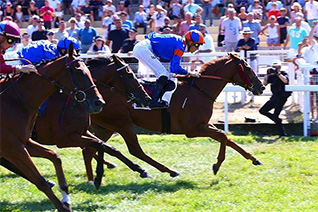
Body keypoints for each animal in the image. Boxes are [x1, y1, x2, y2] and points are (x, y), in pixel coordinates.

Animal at [0, 44, 102, 211]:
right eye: (78, 72)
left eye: (89, 71)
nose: (99, 102)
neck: (14, 101)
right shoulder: (13, 148)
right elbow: (40, 181)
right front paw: (63, 206)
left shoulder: (25, 143)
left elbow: (55, 156)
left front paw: (66, 195)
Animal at [83, 52, 264, 180]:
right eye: (248, 68)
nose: (261, 87)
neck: (200, 90)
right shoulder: (193, 129)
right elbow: (222, 135)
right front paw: (217, 165)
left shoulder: (204, 124)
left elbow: (227, 137)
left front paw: (254, 159)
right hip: (122, 123)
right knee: (134, 150)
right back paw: (162, 171)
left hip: (105, 127)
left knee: (91, 149)